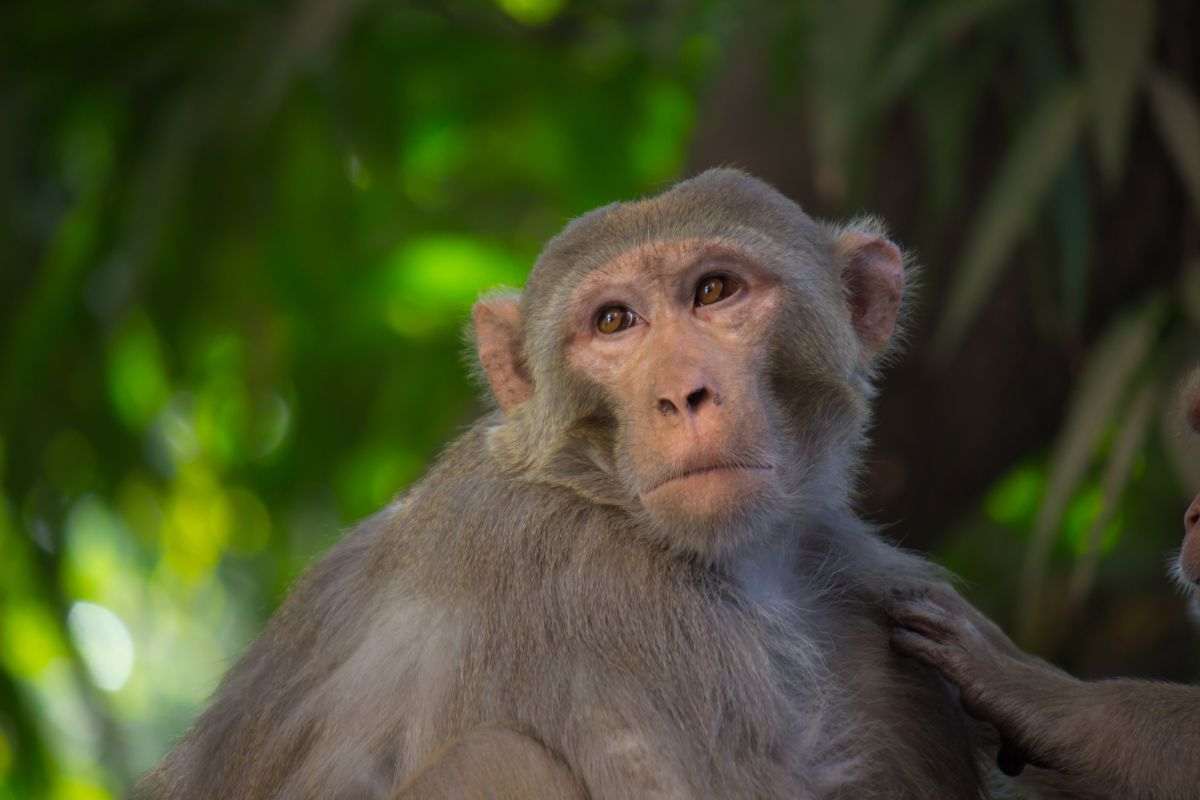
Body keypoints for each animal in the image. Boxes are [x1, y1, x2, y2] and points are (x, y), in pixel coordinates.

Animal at [136, 168, 988, 799]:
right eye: (614, 322)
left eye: (715, 291)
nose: (681, 395)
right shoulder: (603, 596)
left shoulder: (863, 581)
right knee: (496, 759)